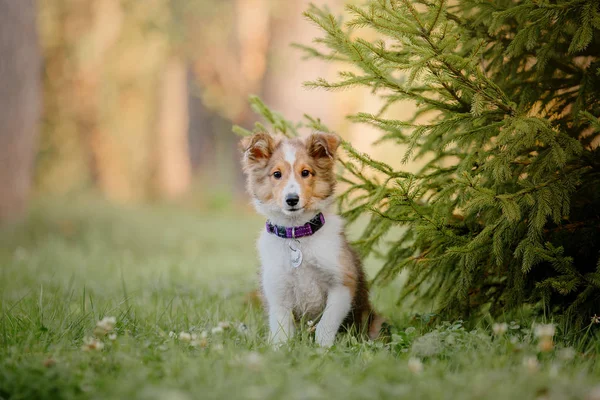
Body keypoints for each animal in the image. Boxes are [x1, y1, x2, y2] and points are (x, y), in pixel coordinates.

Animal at [238, 131, 382, 346]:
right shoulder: (278, 292)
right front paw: (280, 350)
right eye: (277, 174)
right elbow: (281, 332)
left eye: (305, 172)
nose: (292, 200)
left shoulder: (342, 283)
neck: (297, 234)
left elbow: (325, 325)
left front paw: (323, 349)